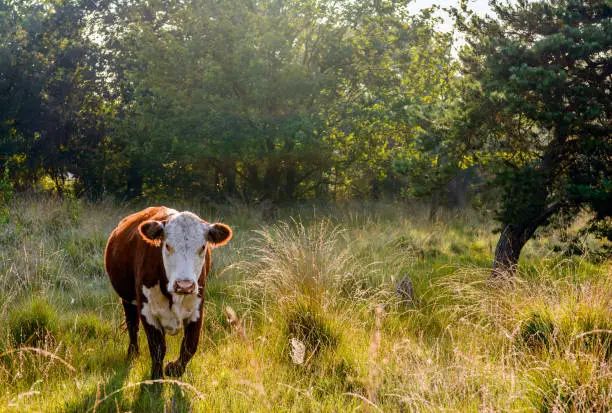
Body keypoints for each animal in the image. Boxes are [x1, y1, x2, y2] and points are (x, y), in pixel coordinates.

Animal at [104, 206, 232, 376]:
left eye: (203, 247)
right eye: (167, 245)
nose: (184, 285)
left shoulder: (197, 310)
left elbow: (190, 346)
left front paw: (174, 369)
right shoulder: (147, 311)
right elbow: (158, 348)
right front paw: (156, 377)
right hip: (127, 299)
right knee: (132, 325)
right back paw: (132, 354)